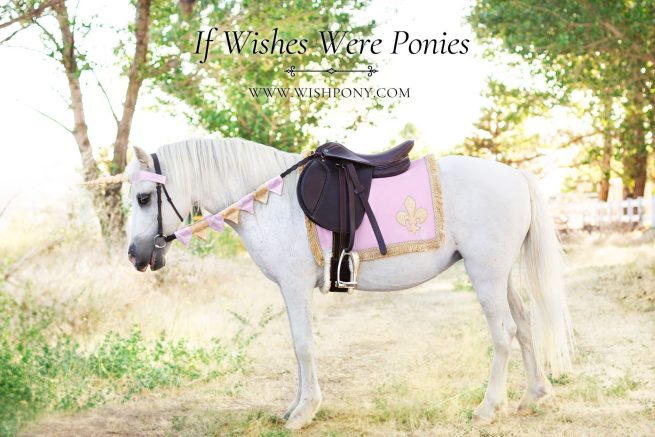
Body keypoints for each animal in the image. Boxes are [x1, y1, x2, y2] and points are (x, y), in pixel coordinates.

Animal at [122, 137, 573, 429]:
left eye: (144, 198)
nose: (134, 255)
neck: (274, 201)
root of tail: (516, 176)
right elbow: (297, 347)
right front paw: (295, 406)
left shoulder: (295, 286)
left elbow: (302, 346)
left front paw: (304, 412)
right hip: (501, 274)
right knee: (525, 324)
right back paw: (534, 395)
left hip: (486, 273)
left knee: (504, 332)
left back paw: (488, 408)